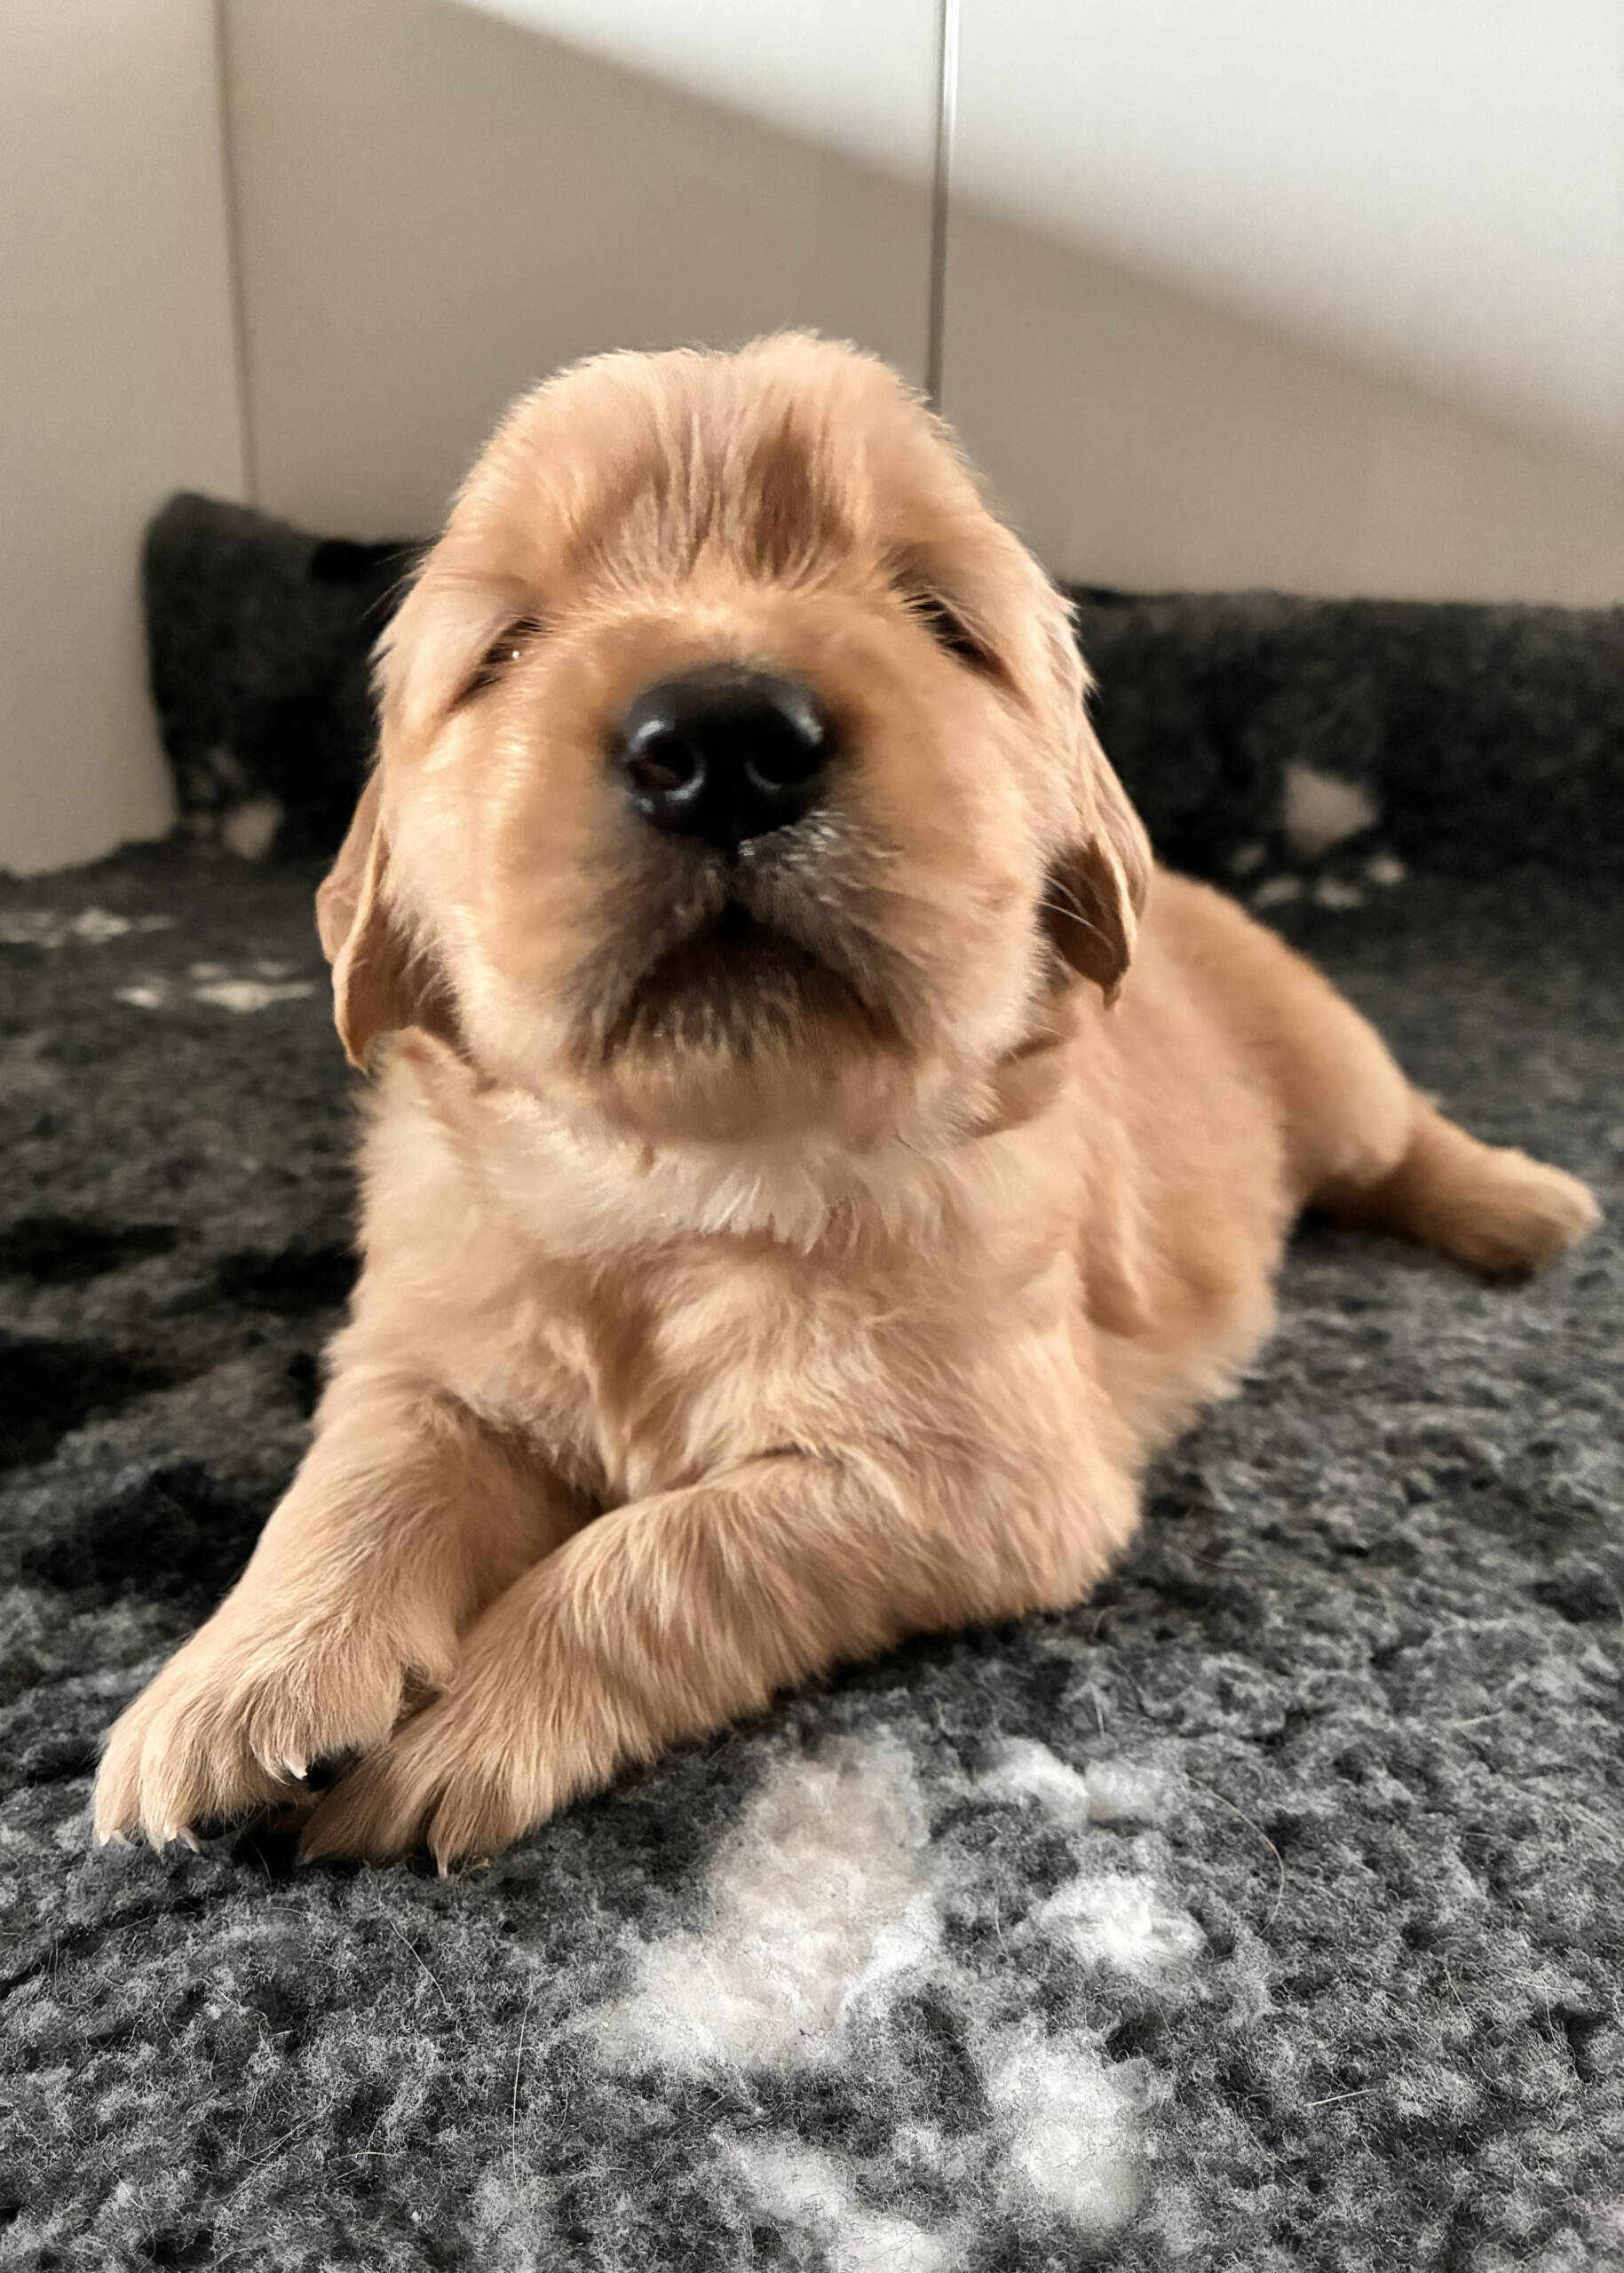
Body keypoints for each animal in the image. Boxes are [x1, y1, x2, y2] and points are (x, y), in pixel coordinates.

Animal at [95, 335, 1600, 1868]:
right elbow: (359, 1482)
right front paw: (243, 1685)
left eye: (941, 619)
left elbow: (660, 1550)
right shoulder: (425, 1351)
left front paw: (465, 1727)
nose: (721, 742)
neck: (684, 1186)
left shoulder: (970, 1477)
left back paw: (1524, 1205)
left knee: (1401, 1140)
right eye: (507, 644)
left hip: (1325, 1056)